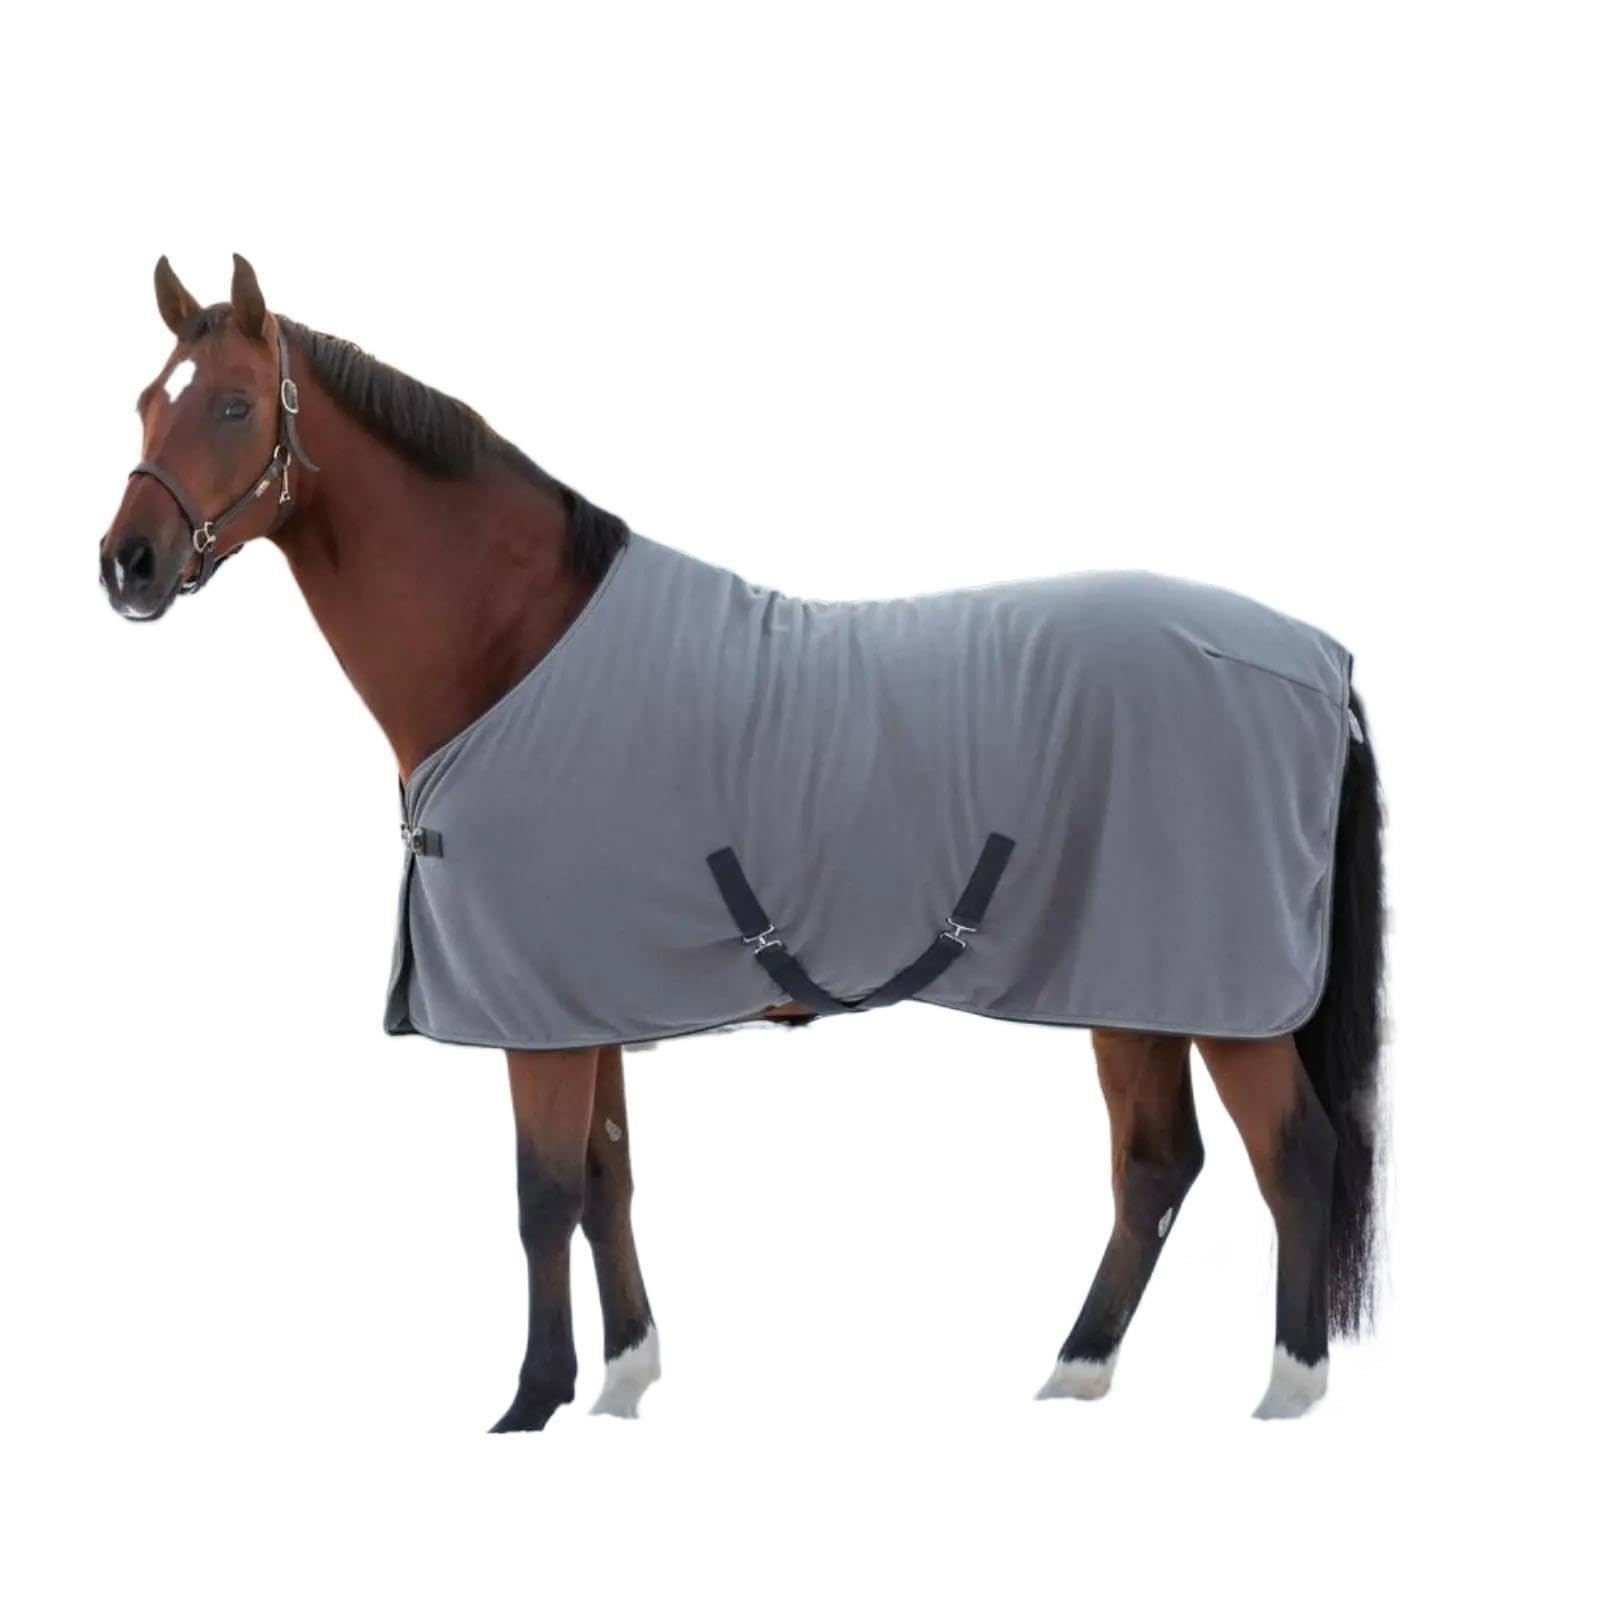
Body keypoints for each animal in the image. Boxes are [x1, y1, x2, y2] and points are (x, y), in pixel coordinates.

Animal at [97, 254, 1386, 1429]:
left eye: (233, 404)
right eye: (147, 401)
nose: (127, 566)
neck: (516, 651)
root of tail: (1317, 661)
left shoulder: (538, 1013)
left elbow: (542, 1193)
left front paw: (532, 1402)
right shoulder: (580, 1001)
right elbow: (608, 1180)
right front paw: (623, 1382)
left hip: (1225, 995)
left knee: (1293, 1155)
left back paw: (1284, 1395)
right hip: (1132, 986)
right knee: (1155, 1164)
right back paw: (1071, 1377)